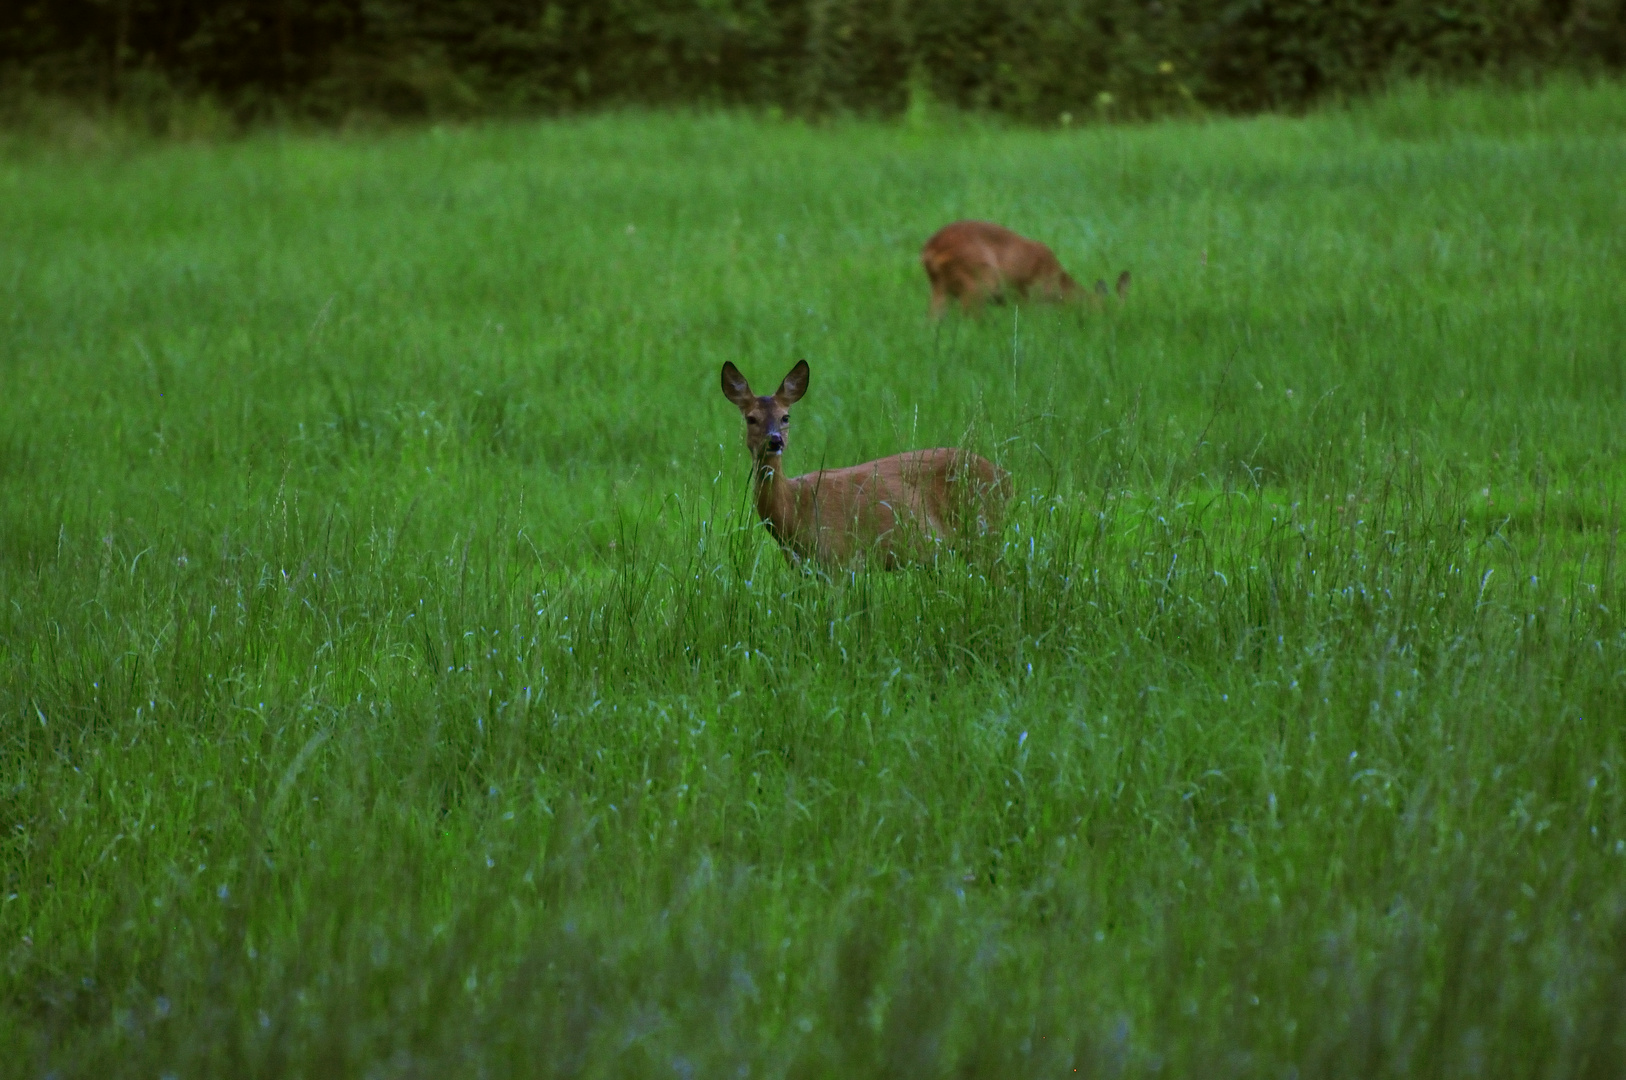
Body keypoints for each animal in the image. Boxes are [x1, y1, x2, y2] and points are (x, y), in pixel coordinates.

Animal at [721, 357, 1008, 569]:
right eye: (751, 418)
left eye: (785, 417)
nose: (775, 441)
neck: (795, 508)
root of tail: (1006, 476)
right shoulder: (801, 567)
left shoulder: (839, 557)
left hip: (985, 532)